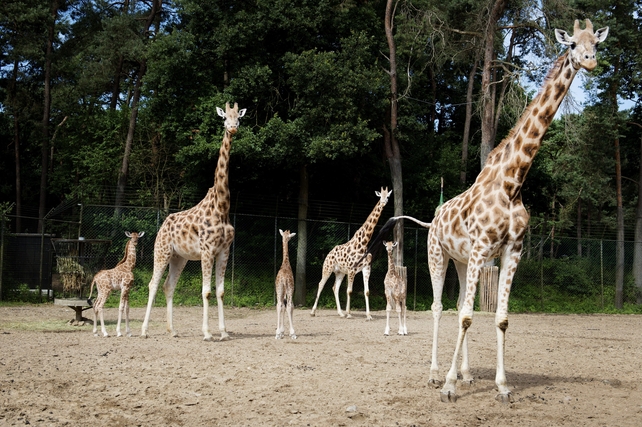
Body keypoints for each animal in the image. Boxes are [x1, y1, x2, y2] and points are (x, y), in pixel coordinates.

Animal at [140, 102, 246, 341]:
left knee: (168, 286)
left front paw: (224, 332)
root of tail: (162, 226)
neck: (222, 207)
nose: (233, 128)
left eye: (239, 117)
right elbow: (206, 292)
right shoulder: (207, 250)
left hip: (179, 257)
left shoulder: (224, 250)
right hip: (161, 251)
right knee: (153, 284)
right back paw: (143, 331)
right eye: (224, 117)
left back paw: (172, 331)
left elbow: (220, 291)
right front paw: (207, 333)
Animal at [310, 187, 392, 320]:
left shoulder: (366, 268)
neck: (364, 242)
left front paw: (368, 315)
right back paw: (313, 312)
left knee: (335, 288)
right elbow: (349, 291)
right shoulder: (352, 269)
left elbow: (366, 291)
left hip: (340, 272)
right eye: (380, 196)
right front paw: (349, 313)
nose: (384, 202)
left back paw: (340, 313)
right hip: (327, 268)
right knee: (321, 284)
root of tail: (328, 254)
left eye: (388, 196)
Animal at [367, 20, 608, 403]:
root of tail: (432, 220)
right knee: (439, 307)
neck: (512, 184)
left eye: (595, 43)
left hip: (463, 262)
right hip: (438, 254)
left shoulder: (511, 250)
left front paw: (502, 386)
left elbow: (498, 317)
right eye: (571, 44)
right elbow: (466, 316)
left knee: (456, 308)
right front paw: (448, 386)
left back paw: (465, 374)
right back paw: (435, 374)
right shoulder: (482, 247)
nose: (590, 61)